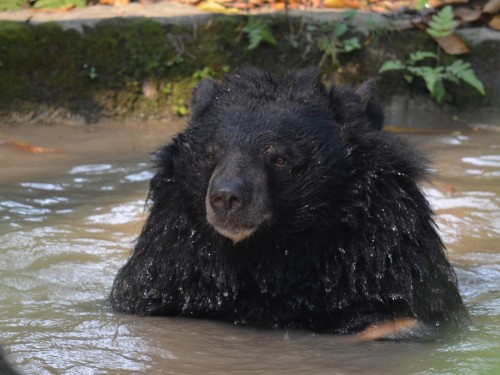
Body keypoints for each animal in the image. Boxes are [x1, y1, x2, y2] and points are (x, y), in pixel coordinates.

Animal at [108, 67, 464, 340]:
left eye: (279, 158)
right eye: (210, 154)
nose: (226, 198)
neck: (274, 252)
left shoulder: (380, 252)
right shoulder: (175, 258)